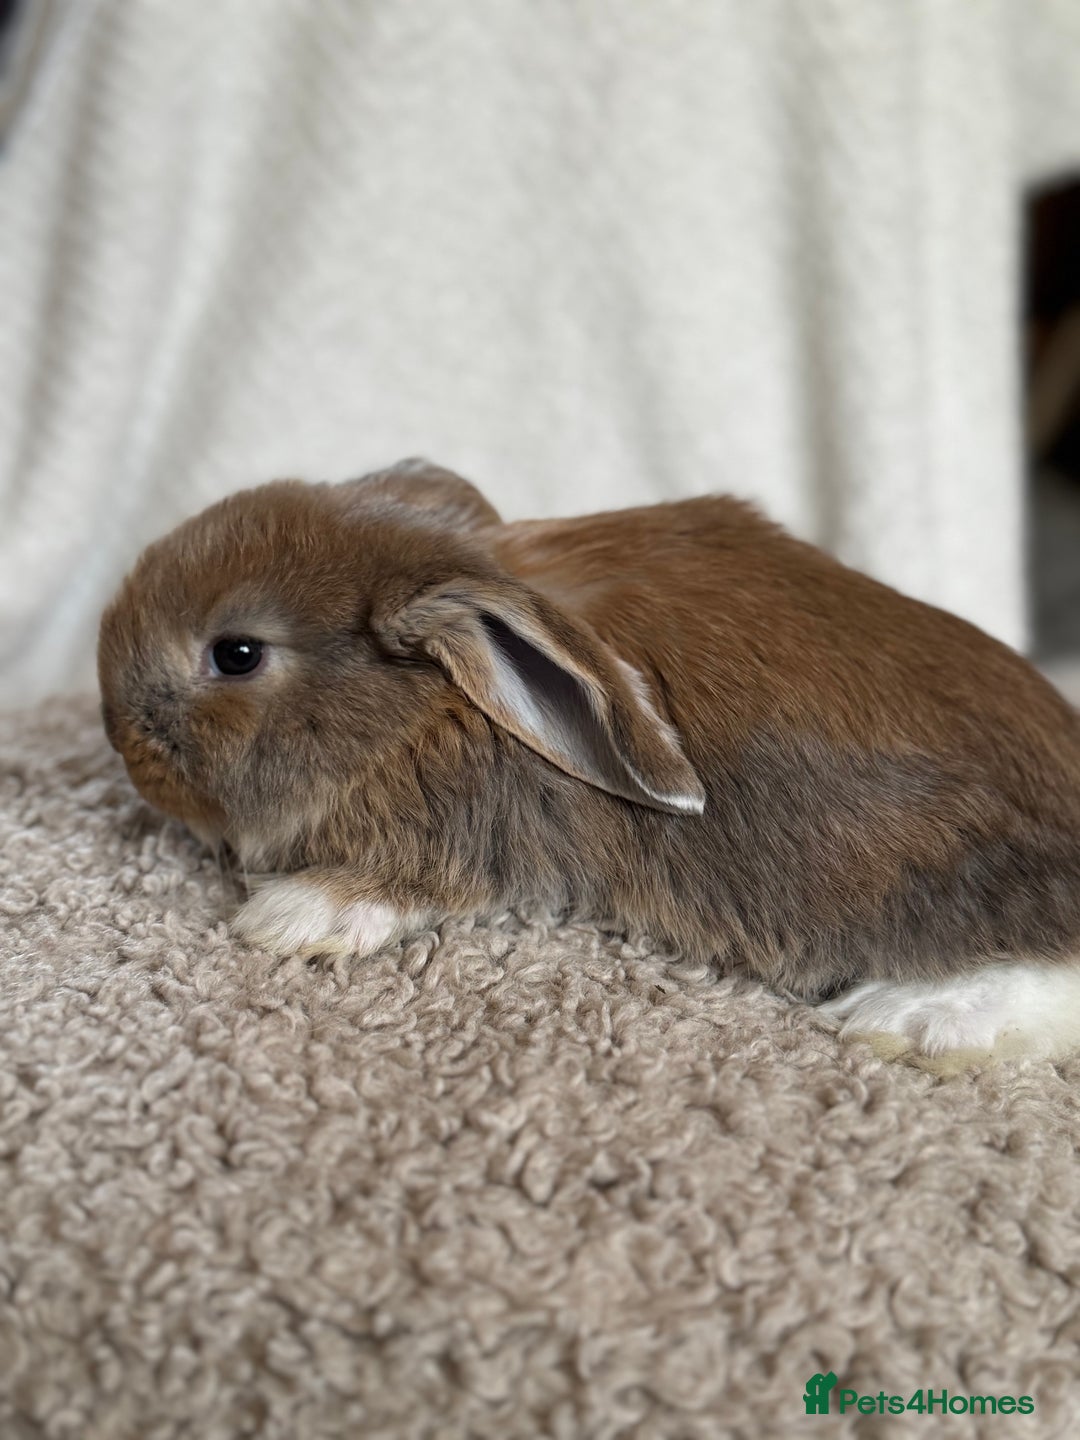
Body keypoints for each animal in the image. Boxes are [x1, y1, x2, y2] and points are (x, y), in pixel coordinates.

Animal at [97, 459, 1080, 1068]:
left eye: (236, 655)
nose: (120, 740)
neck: (433, 706)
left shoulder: (467, 833)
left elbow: (404, 884)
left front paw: (294, 916)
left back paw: (918, 1022)